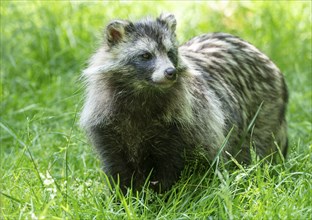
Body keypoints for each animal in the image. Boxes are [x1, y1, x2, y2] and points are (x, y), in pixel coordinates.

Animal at [80, 13, 288, 192]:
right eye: (146, 55)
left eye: (170, 52)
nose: (171, 72)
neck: (144, 92)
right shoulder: (108, 124)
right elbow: (117, 169)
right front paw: (123, 199)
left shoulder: (183, 125)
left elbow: (169, 168)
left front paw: (162, 200)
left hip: (263, 112)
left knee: (257, 148)